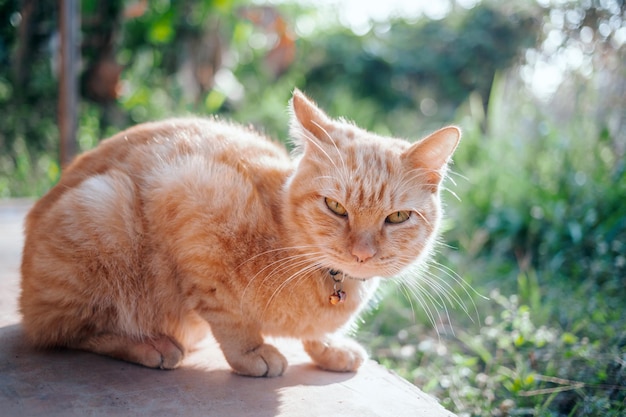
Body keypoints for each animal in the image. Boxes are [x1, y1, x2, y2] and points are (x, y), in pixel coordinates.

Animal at [19, 89, 458, 376]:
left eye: (397, 217)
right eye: (335, 207)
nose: (362, 254)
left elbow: (316, 334)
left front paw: (329, 348)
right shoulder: (188, 198)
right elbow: (229, 318)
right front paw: (252, 353)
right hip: (104, 206)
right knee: (66, 332)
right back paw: (150, 345)